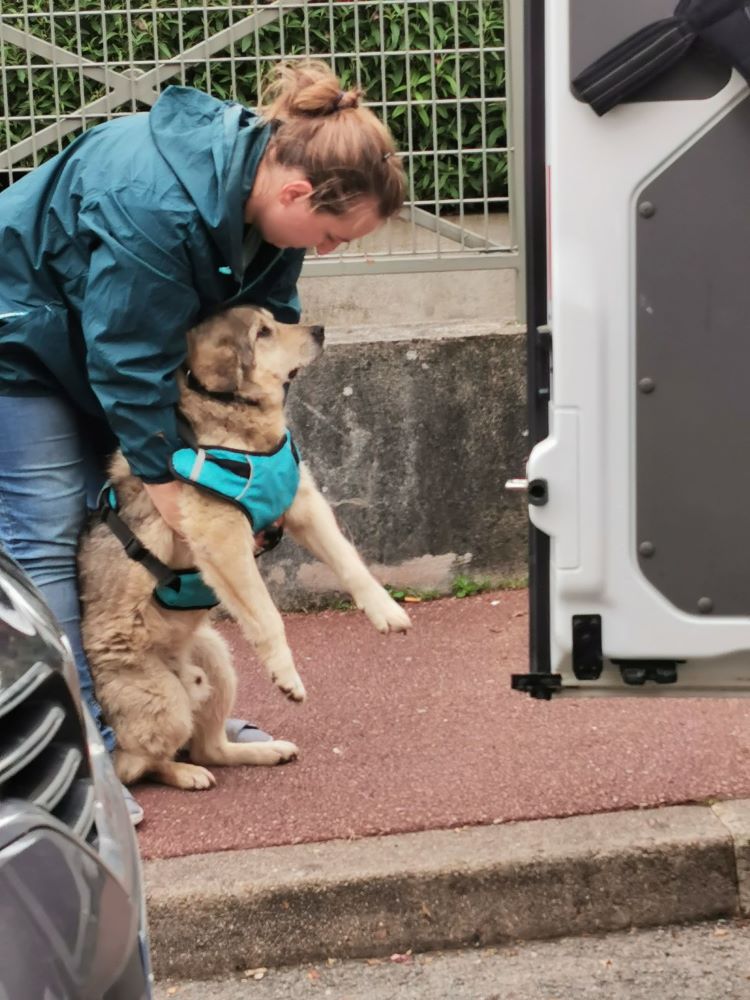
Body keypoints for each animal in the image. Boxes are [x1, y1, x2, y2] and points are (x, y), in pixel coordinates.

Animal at [78, 308, 412, 792]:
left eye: (275, 320)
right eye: (263, 332)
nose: (320, 330)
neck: (239, 422)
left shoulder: (303, 503)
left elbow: (350, 563)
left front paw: (386, 610)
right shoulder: (222, 537)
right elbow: (268, 615)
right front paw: (287, 675)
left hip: (217, 663)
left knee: (210, 747)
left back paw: (263, 751)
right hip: (164, 703)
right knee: (140, 764)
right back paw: (185, 774)